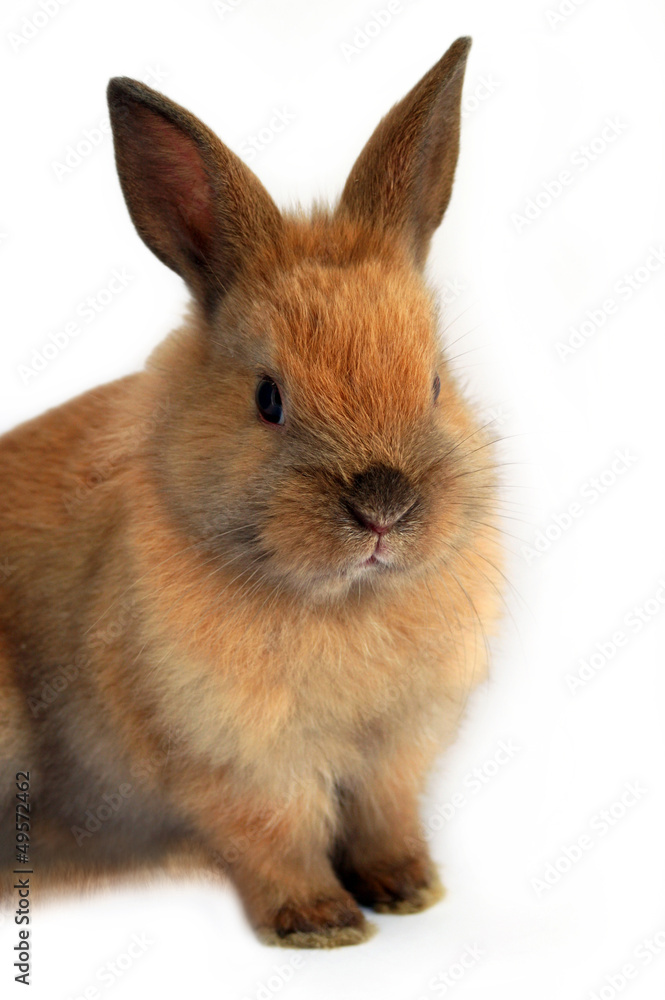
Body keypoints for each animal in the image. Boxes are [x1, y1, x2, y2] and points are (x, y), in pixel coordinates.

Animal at [0, 36, 504, 948]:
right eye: (268, 399)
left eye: (435, 384)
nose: (383, 507)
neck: (339, 603)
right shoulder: (236, 761)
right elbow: (278, 837)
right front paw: (320, 925)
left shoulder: (393, 756)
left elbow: (384, 820)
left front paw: (409, 890)